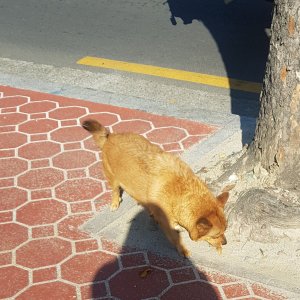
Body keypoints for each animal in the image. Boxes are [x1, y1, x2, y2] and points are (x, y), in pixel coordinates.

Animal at [82, 119, 227, 258]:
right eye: (215, 236)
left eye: (225, 230)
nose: (225, 243)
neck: (181, 192)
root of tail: (110, 137)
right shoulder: (167, 223)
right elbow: (175, 238)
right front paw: (182, 249)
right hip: (112, 178)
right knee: (115, 190)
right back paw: (115, 202)